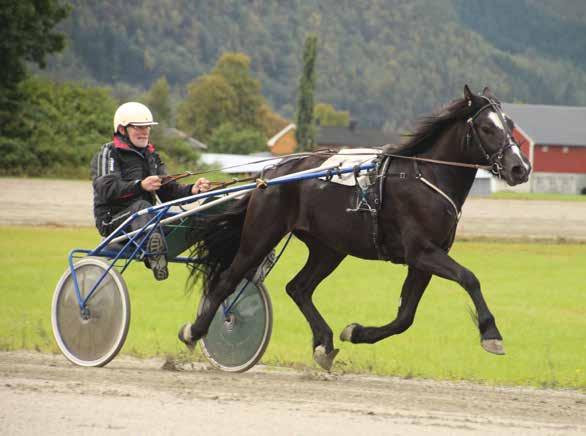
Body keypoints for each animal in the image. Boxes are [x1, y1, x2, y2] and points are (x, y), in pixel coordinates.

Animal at [178, 86, 528, 372]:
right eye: (486, 127)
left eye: (510, 124)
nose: (520, 168)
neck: (425, 178)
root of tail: (269, 174)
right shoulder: (422, 251)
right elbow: (469, 278)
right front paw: (491, 334)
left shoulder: (424, 259)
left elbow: (405, 317)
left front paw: (358, 332)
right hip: (262, 234)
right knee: (228, 280)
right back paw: (196, 330)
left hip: (329, 248)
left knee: (298, 288)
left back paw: (325, 343)